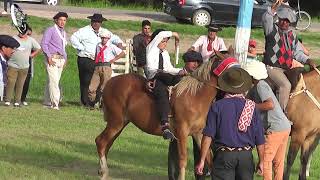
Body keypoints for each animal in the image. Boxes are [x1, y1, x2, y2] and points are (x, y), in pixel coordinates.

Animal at [95, 53, 228, 179]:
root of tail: (109, 82)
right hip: (116, 122)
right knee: (101, 142)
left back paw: (101, 170)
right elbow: (183, 160)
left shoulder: (199, 133)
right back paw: (104, 172)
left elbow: (209, 159)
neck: (195, 95)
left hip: (120, 124)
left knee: (107, 144)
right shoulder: (182, 133)